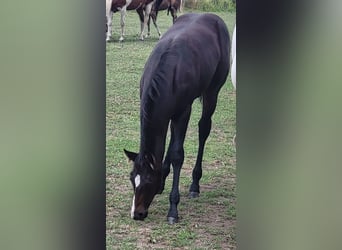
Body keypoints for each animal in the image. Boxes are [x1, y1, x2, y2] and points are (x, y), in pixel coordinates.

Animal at [123, 13, 230, 225]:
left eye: (148, 180)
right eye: (132, 178)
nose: (137, 214)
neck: (169, 73)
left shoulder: (183, 112)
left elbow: (177, 154)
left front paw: (173, 209)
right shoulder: (168, 114)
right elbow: (170, 146)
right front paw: (162, 181)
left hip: (212, 91)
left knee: (204, 129)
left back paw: (195, 184)